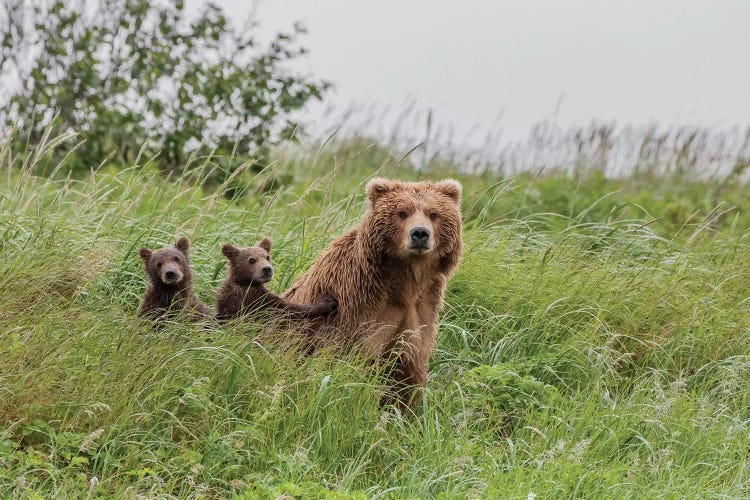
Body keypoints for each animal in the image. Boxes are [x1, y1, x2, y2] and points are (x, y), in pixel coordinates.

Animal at [284, 178, 464, 404]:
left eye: (433, 213)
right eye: (402, 212)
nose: (420, 233)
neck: (405, 281)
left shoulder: (422, 308)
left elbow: (407, 375)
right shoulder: (356, 306)